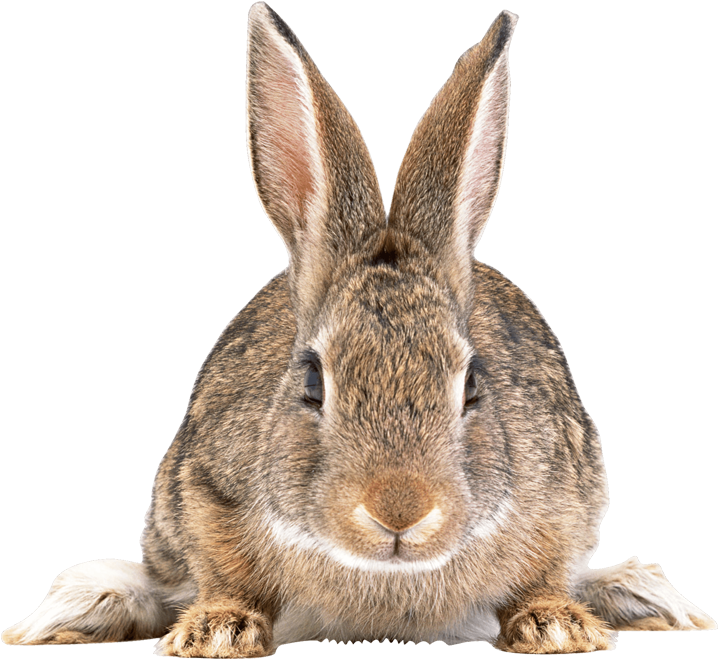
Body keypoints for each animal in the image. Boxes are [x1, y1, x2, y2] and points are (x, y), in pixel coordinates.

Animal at [3, 2, 715, 656]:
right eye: (313, 382)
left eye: (472, 385)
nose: (399, 509)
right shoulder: (202, 492)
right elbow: (223, 574)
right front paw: (218, 632)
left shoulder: (562, 497)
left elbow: (542, 572)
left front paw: (556, 627)